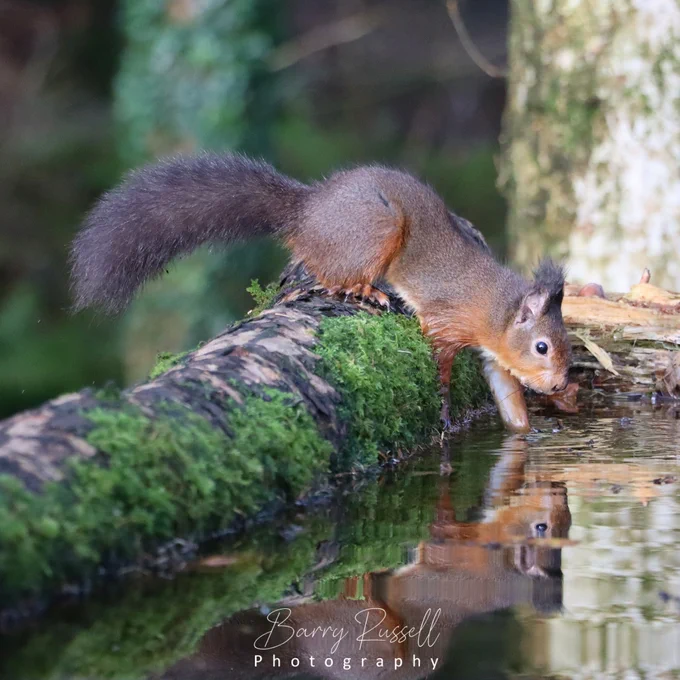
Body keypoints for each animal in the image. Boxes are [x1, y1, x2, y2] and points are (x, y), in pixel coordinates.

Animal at [70, 153, 572, 432]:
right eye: (542, 347)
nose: (561, 383)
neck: (497, 309)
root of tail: (306, 214)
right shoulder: (448, 321)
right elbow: (440, 363)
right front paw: (446, 410)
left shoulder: (494, 354)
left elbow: (506, 392)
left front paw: (524, 430)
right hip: (377, 228)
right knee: (330, 273)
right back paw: (365, 289)